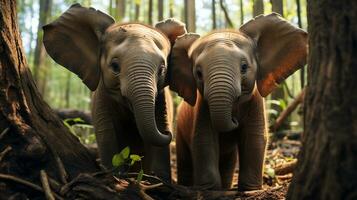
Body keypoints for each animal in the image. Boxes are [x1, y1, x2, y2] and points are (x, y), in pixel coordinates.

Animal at [42, 3, 186, 181]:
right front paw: (114, 175)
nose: (169, 132)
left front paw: (158, 179)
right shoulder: (102, 96)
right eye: (115, 66)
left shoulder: (161, 99)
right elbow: (107, 134)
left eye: (162, 70)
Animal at [171, 13, 308, 190]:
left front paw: (250, 189)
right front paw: (210, 189)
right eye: (199, 73)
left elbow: (255, 138)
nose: (234, 120)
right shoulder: (202, 107)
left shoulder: (256, 102)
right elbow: (203, 139)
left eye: (244, 67)